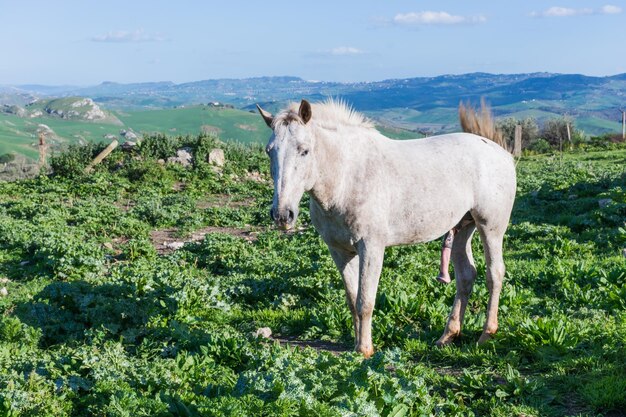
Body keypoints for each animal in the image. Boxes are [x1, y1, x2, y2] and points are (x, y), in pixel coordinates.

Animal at [256, 99, 516, 356]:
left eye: (304, 150)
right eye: (270, 151)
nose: (282, 214)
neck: (346, 176)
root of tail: (502, 153)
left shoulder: (371, 247)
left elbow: (365, 301)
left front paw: (365, 350)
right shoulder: (339, 251)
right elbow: (352, 299)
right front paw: (356, 344)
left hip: (490, 227)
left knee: (494, 273)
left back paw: (486, 335)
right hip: (463, 228)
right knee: (466, 276)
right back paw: (447, 336)